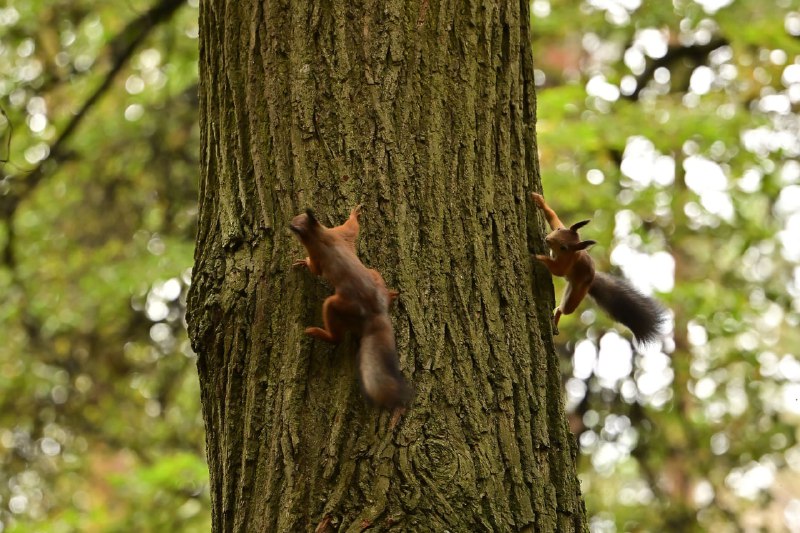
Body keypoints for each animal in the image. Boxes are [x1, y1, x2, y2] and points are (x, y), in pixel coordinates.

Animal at [290, 204, 412, 408]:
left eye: (293, 226)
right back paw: (391, 295)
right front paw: (355, 214)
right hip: (374, 273)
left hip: (338, 305)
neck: (319, 234)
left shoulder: (318, 253)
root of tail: (376, 311)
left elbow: (315, 269)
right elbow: (352, 228)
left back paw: (319, 333)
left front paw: (303, 262)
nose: (289, 223)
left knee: (336, 337)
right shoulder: (340, 233)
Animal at [528, 193, 664, 342]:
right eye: (559, 230)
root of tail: (591, 280)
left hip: (577, 293)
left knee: (564, 309)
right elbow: (553, 217)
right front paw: (540, 201)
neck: (572, 253)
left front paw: (538, 257)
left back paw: (556, 317)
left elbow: (558, 271)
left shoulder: (568, 262)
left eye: (564, 247)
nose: (547, 239)